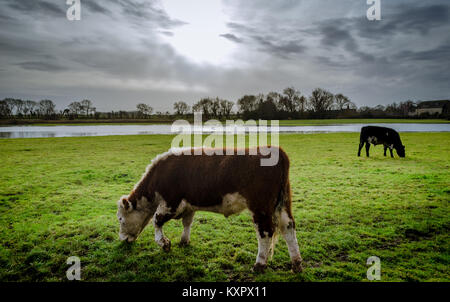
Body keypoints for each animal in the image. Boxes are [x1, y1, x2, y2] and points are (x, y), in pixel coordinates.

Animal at [116, 146, 302, 274]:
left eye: (120, 219)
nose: (122, 239)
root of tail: (276, 150)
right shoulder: (188, 205)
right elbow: (187, 223)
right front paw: (184, 241)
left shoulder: (171, 203)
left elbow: (157, 220)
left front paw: (164, 243)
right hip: (283, 204)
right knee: (288, 228)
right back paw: (296, 264)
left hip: (260, 207)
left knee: (265, 233)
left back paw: (259, 264)